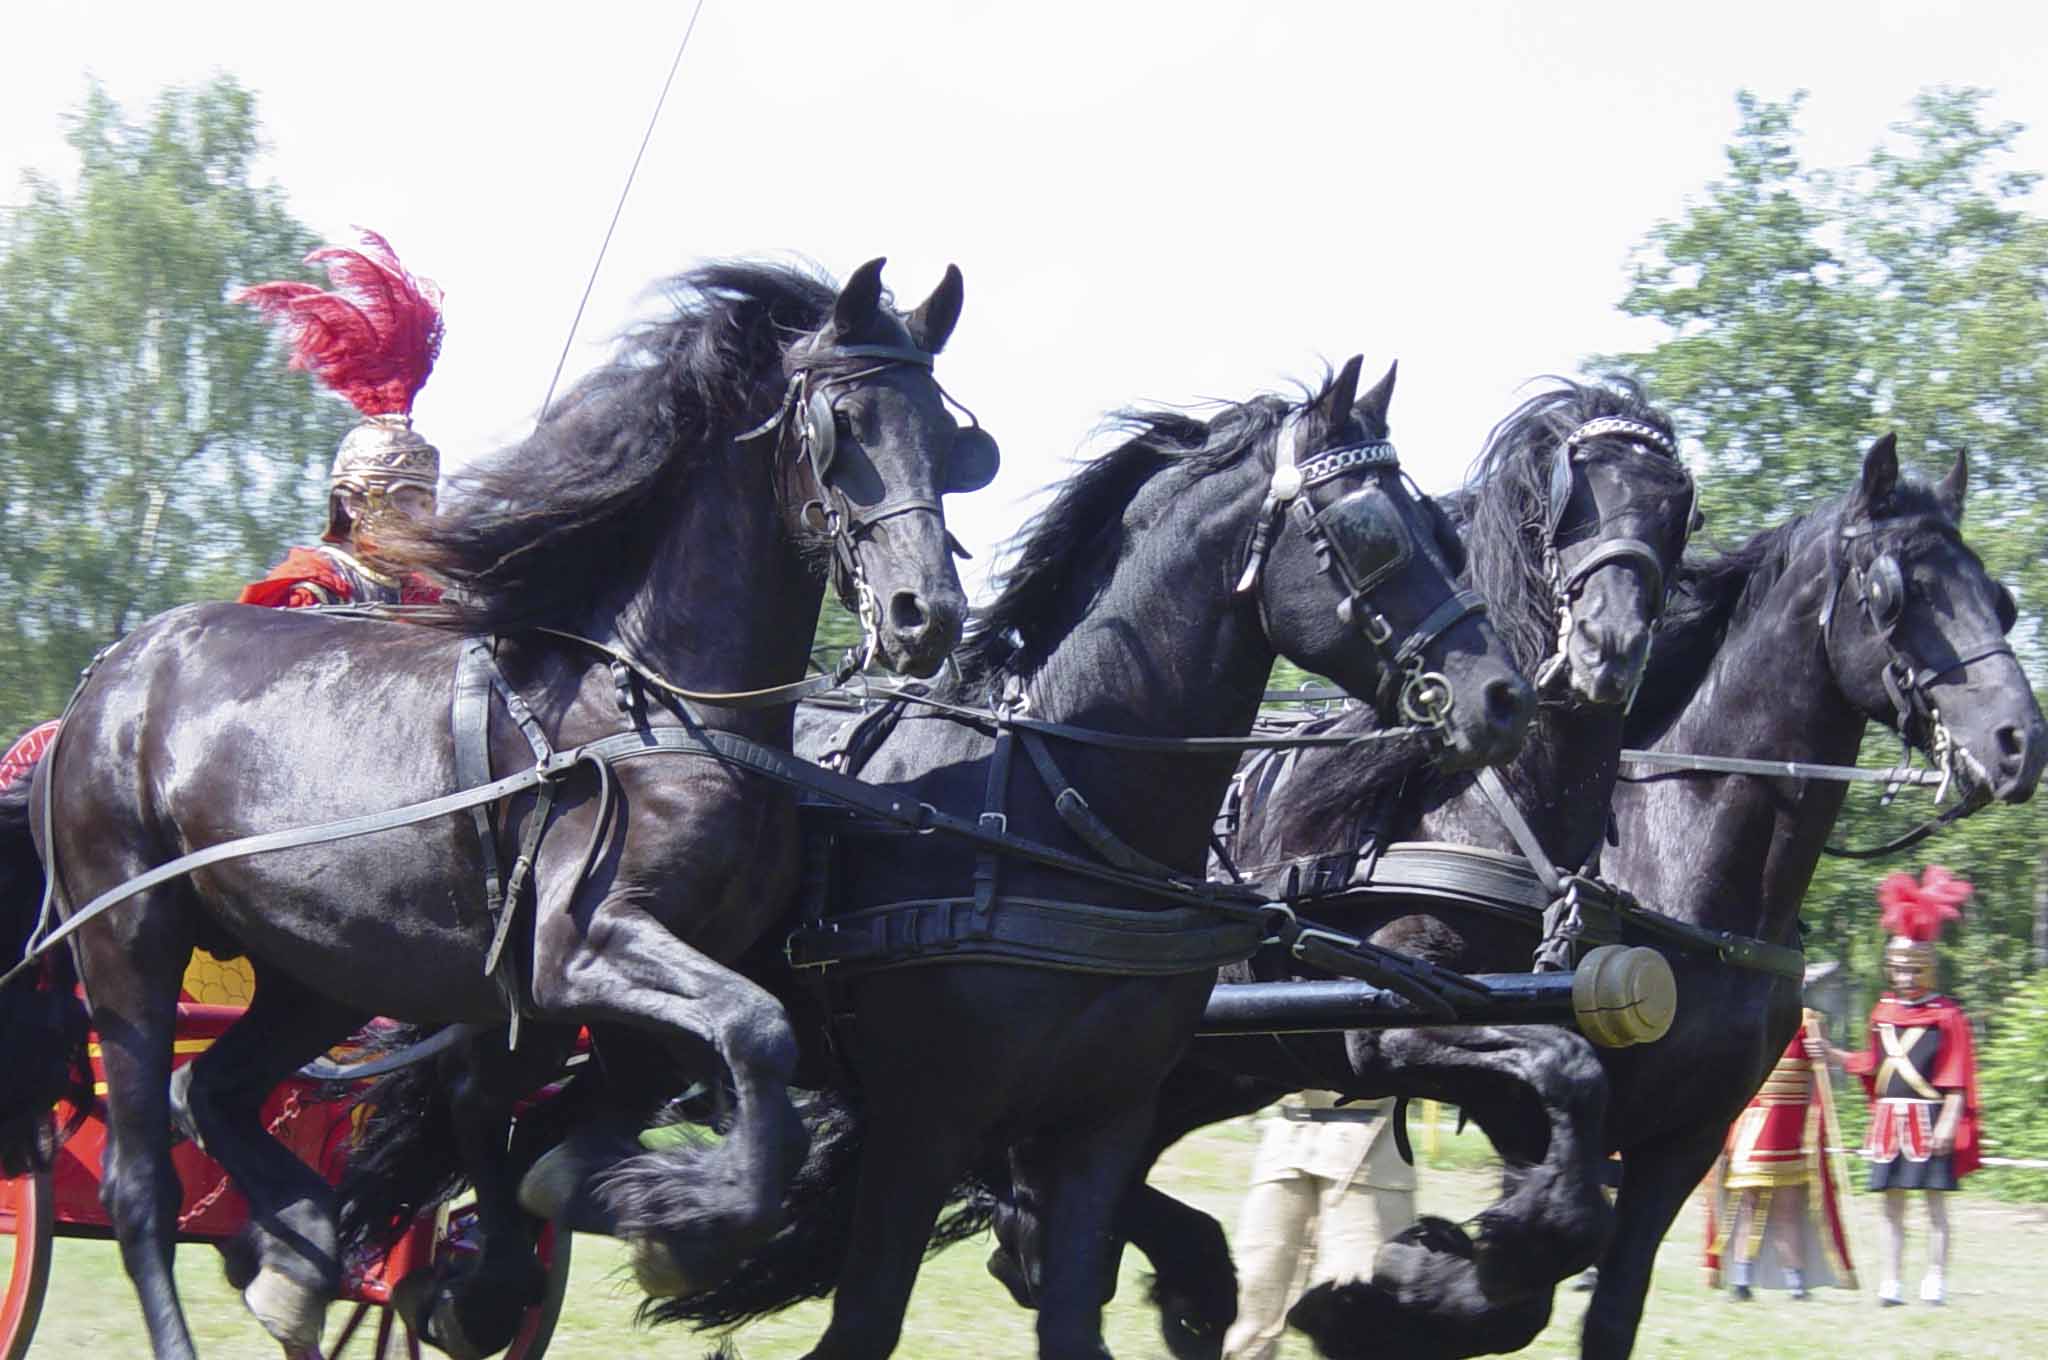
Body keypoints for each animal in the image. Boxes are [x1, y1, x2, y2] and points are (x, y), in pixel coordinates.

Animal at [2, 258, 983, 1360]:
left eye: (949, 439)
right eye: (843, 423)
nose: (925, 616)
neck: (651, 706)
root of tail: (107, 677)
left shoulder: (585, 999)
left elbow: (534, 1115)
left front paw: (538, 1246)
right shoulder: (581, 951)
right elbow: (756, 1035)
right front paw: (676, 1225)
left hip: (323, 970)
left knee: (209, 1089)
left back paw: (295, 1252)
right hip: (131, 945)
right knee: (141, 1187)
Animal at [983, 376, 1703, 1351]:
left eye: (1676, 511)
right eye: (1572, 496)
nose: (1610, 647)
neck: (1475, 807)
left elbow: (1577, 1135)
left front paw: (1445, 1278)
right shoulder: (1391, 1027)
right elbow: (1569, 1074)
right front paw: (1431, 1280)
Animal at [1294, 438, 2048, 1360]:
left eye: (1999, 598)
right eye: (1893, 593)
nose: (2019, 743)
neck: (1686, 877)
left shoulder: (1685, 1141)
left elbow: (1608, 1305)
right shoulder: (1482, 1075)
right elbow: (1540, 1267)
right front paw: (1393, 1294)